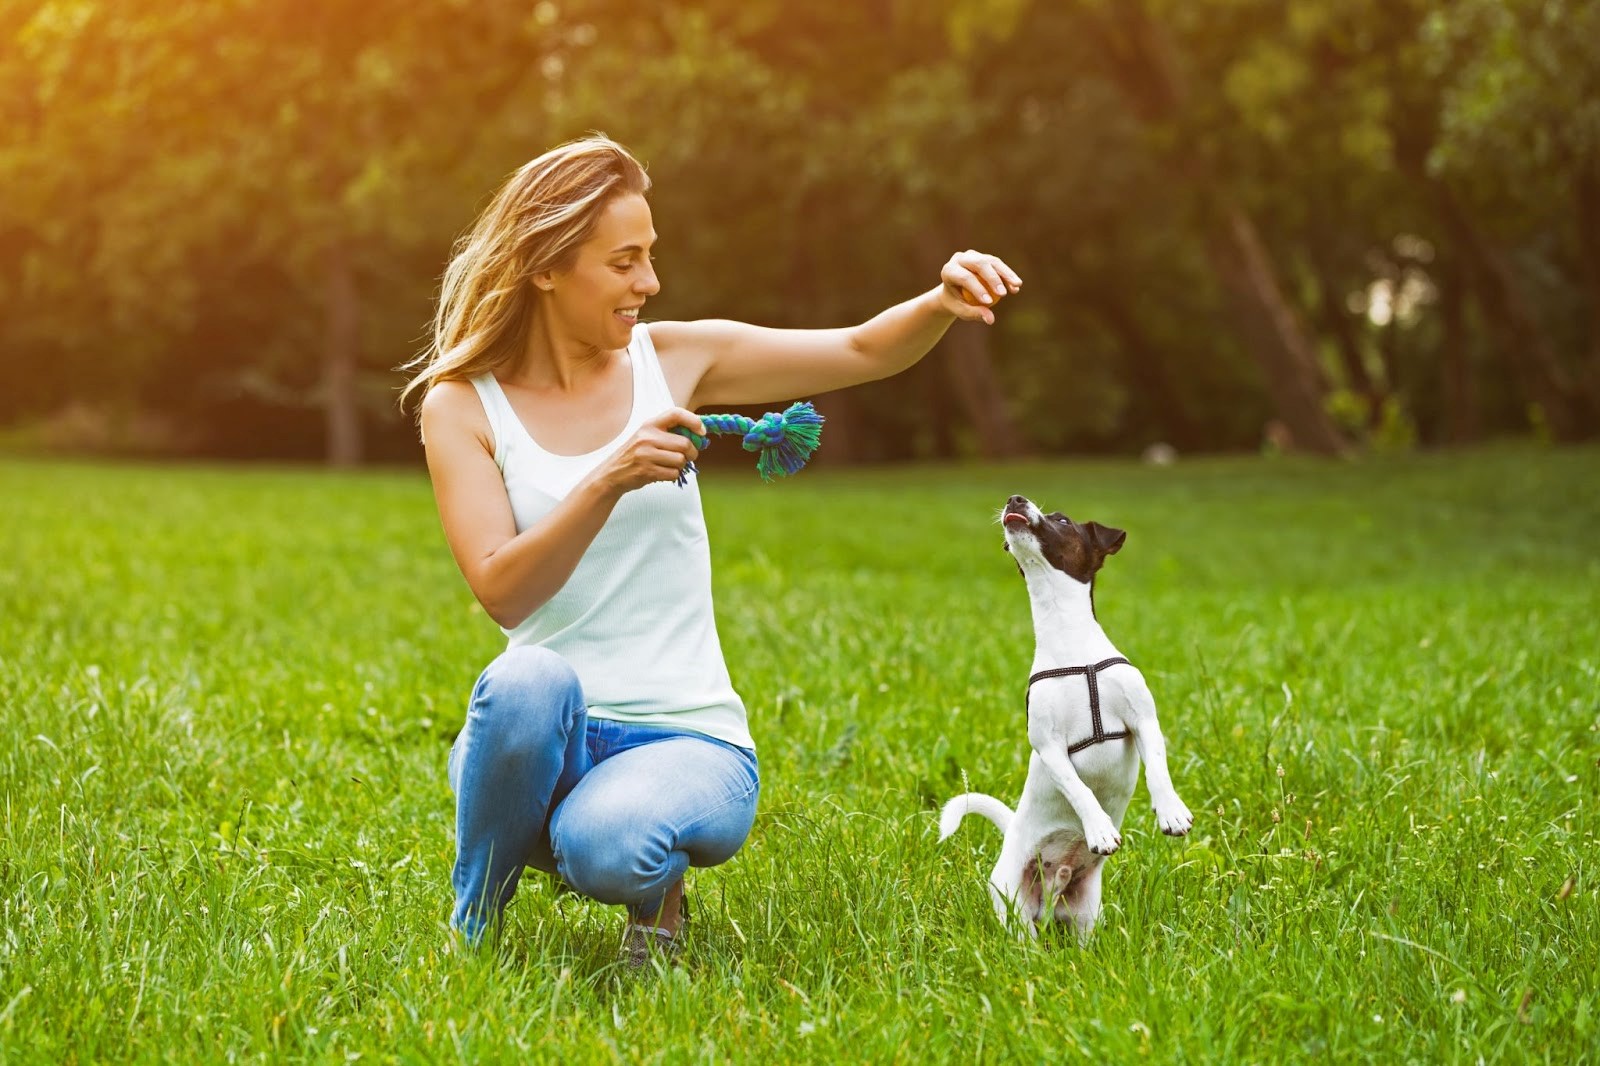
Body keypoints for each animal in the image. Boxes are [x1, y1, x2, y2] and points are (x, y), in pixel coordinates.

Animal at [934, 492, 1190, 934]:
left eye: (1063, 520)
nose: (1014, 497)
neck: (1069, 641)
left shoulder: (1144, 721)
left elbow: (1157, 769)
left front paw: (1171, 811)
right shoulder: (1049, 747)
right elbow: (1079, 789)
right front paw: (1099, 828)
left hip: (1086, 909)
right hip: (1013, 904)